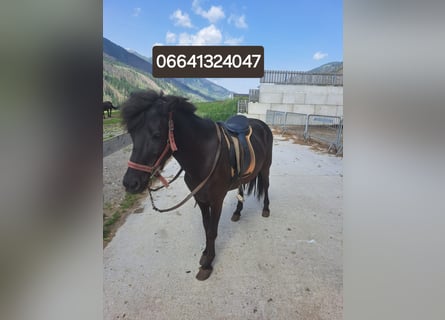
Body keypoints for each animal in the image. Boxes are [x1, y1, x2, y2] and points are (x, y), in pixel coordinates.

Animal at [122, 89, 274, 280]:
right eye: (132, 134)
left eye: (156, 135)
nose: (130, 183)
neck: (204, 157)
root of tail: (262, 124)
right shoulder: (201, 199)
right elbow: (206, 228)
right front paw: (206, 254)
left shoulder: (216, 201)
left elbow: (212, 231)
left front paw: (207, 264)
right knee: (242, 187)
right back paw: (237, 212)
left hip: (265, 168)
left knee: (266, 187)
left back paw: (266, 209)